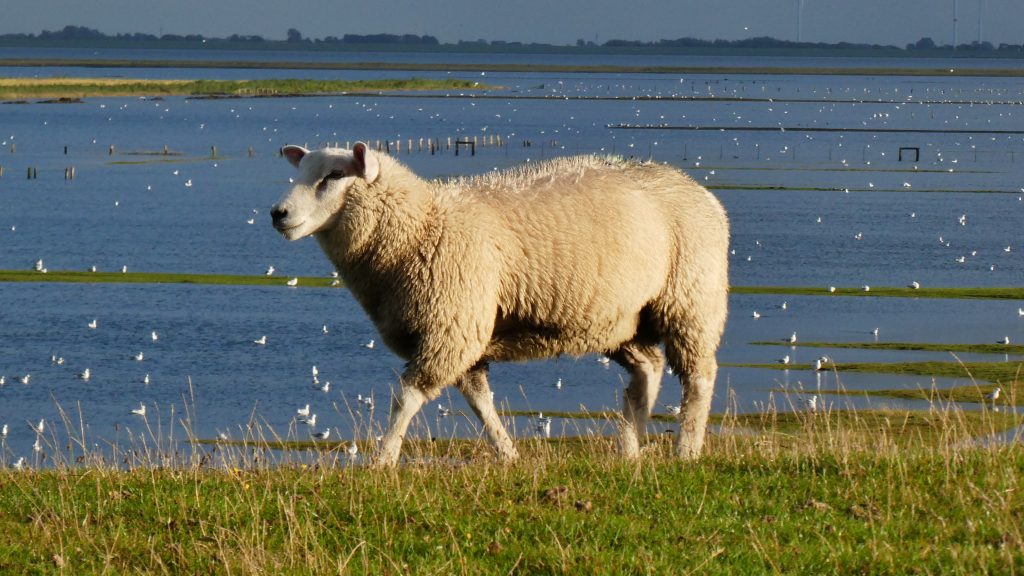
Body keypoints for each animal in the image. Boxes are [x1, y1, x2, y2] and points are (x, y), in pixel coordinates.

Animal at [271, 142, 729, 466]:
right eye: (301, 172)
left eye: (333, 176)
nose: (278, 213)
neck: (422, 225)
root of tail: (701, 191)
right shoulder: (461, 331)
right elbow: (479, 401)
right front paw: (507, 453)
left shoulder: (450, 327)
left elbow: (406, 398)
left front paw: (382, 460)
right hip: (622, 318)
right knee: (647, 370)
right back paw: (630, 448)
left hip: (691, 300)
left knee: (699, 377)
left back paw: (686, 449)